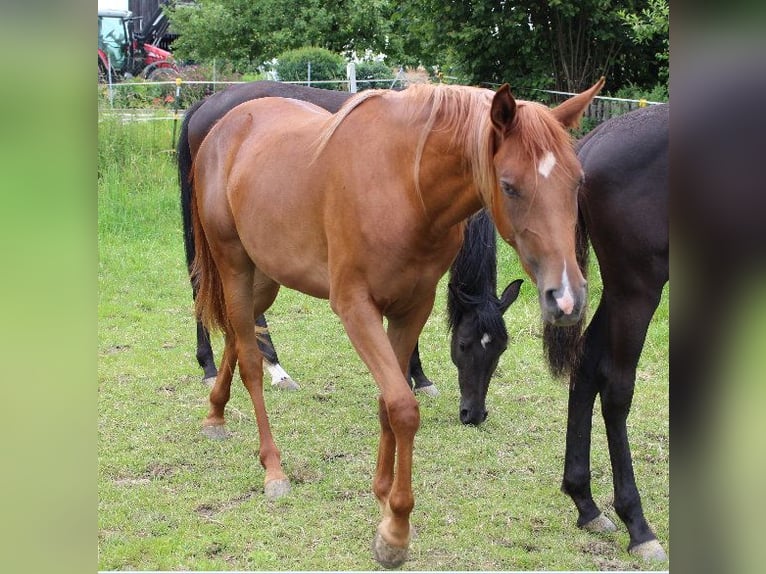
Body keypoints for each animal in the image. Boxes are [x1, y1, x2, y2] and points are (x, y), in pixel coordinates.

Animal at [179, 82, 524, 414]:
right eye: (464, 344)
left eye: (501, 347)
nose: (474, 414)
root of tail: (206, 104)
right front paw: (417, 377)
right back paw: (238, 367)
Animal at [544, 104, 668, 564]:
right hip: (636, 289)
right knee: (615, 389)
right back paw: (638, 524)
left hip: (620, 293)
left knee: (586, 366)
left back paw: (585, 502)